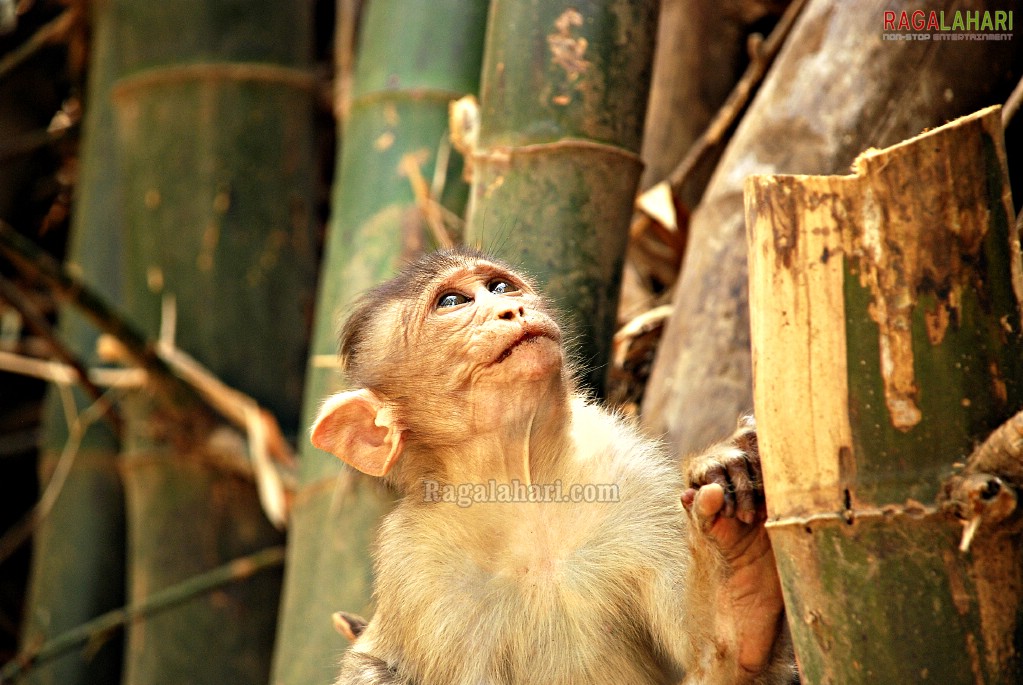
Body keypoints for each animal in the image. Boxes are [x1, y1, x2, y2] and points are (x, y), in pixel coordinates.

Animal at [315, 249, 793, 685]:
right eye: (451, 302)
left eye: (500, 287)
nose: (512, 308)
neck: (523, 495)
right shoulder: (416, 568)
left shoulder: (633, 473)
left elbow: (714, 665)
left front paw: (737, 606)